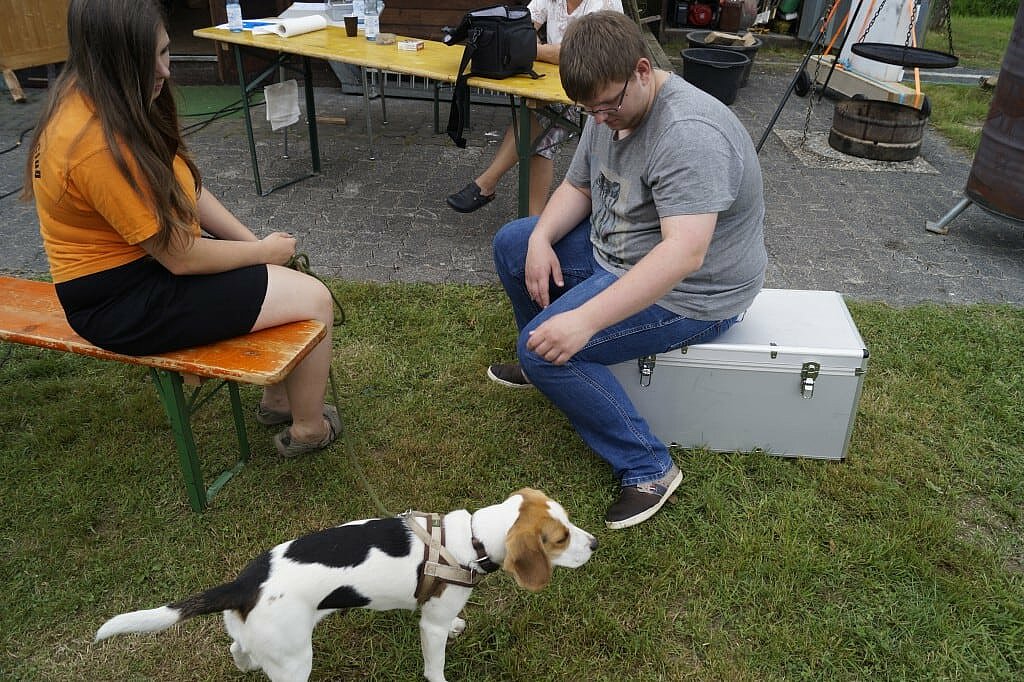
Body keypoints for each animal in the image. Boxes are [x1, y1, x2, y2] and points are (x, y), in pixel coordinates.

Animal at [95, 488, 597, 682]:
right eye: (559, 539)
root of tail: (244, 583)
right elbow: (435, 662)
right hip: (295, 662)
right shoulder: (430, 628)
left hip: (260, 639)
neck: (467, 539)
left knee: (239, 651)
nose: (594, 544)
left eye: (569, 522)